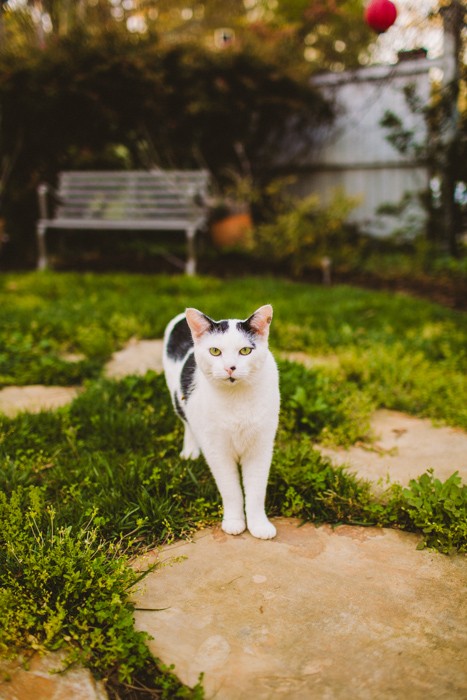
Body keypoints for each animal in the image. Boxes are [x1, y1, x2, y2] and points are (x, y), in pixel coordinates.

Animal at [163, 304, 280, 540]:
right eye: (215, 351)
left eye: (245, 351)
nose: (230, 368)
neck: (237, 400)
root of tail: (180, 318)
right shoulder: (217, 451)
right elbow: (231, 489)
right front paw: (234, 522)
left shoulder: (261, 448)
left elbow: (256, 490)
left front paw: (259, 524)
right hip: (178, 397)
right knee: (188, 423)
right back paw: (190, 450)